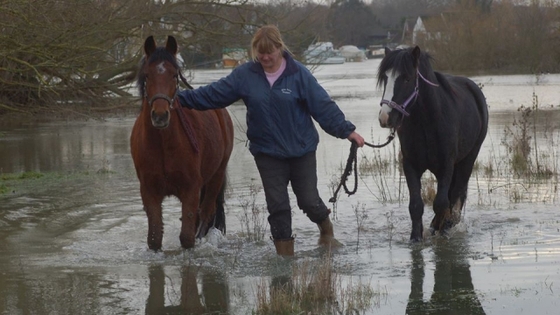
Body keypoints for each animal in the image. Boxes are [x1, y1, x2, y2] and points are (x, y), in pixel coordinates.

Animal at [130, 35, 233, 252]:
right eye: (147, 75)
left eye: (174, 75)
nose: (160, 116)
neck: (163, 145)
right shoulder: (149, 192)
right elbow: (154, 239)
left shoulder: (190, 190)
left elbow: (187, 237)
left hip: (215, 177)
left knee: (206, 212)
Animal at [378, 46, 488, 242]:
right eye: (385, 78)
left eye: (407, 78)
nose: (385, 117)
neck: (427, 123)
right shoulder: (410, 165)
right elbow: (416, 205)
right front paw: (416, 237)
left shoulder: (446, 165)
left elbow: (441, 203)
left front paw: (441, 230)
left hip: (468, 159)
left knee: (457, 193)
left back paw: (447, 224)